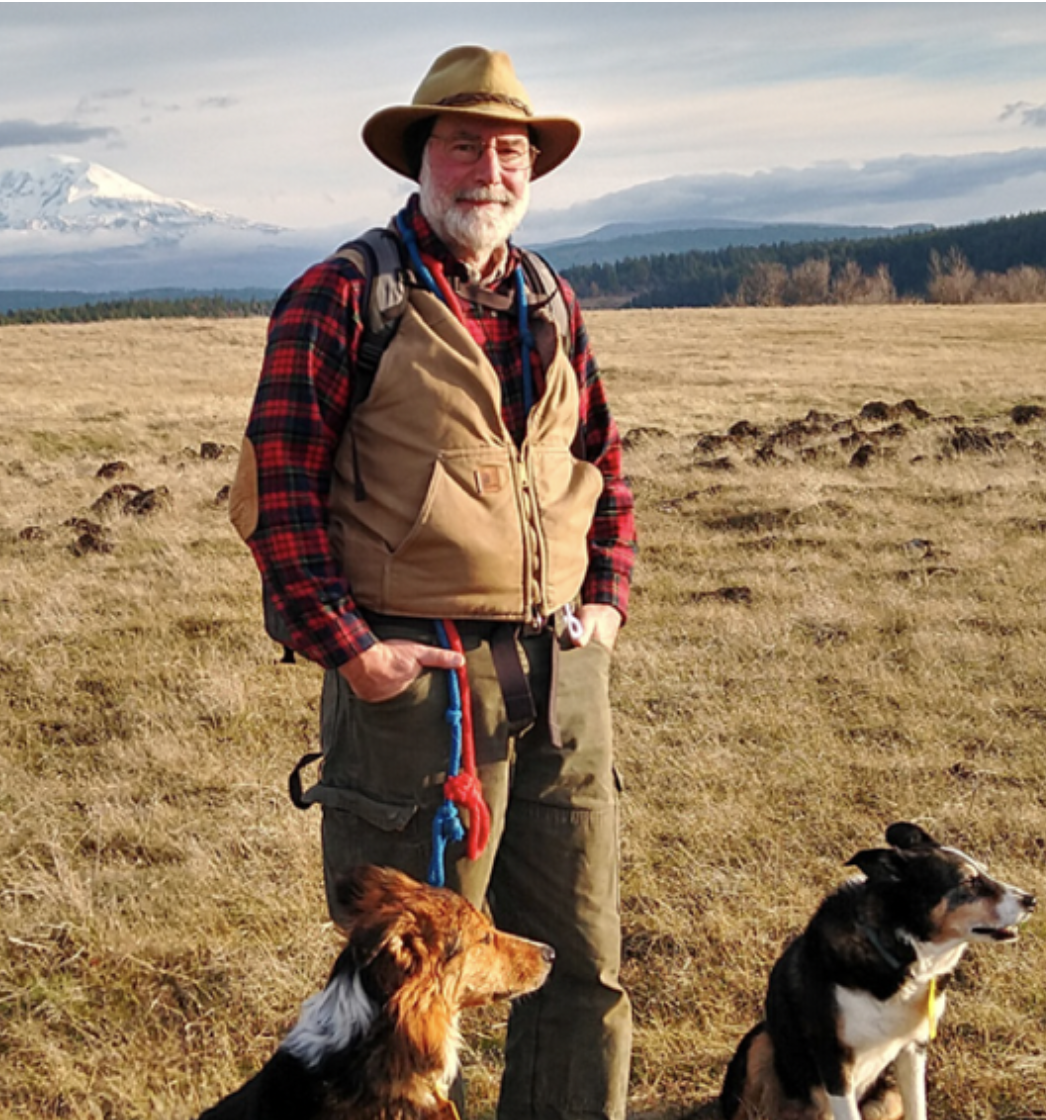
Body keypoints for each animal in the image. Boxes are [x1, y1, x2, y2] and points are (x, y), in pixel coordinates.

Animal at [721, 819, 1039, 1115]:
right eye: (968, 882)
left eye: (984, 872)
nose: (1031, 900)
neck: (900, 961)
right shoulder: (833, 1059)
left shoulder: (913, 1047)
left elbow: (917, 1109)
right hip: (760, 1042)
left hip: (888, 1095)